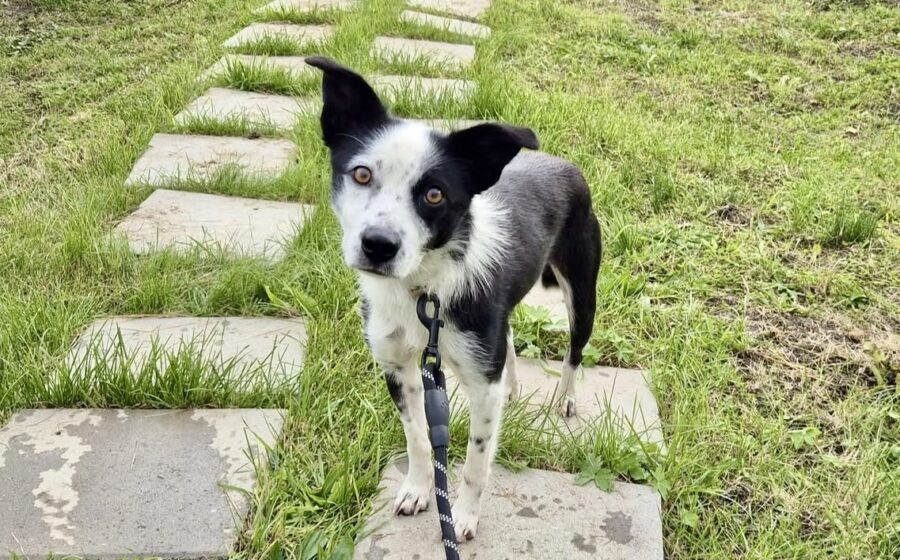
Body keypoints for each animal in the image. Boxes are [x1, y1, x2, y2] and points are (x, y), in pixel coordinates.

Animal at [306, 56, 602, 543]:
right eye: (362, 174)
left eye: (434, 194)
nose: (378, 245)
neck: (423, 290)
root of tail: (561, 164)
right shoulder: (398, 367)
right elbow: (418, 438)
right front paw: (417, 488)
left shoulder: (481, 385)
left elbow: (477, 461)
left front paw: (461, 517)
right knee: (510, 337)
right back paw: (514, 387)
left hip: (583, 292)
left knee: (574, 353)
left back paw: (566, 398)